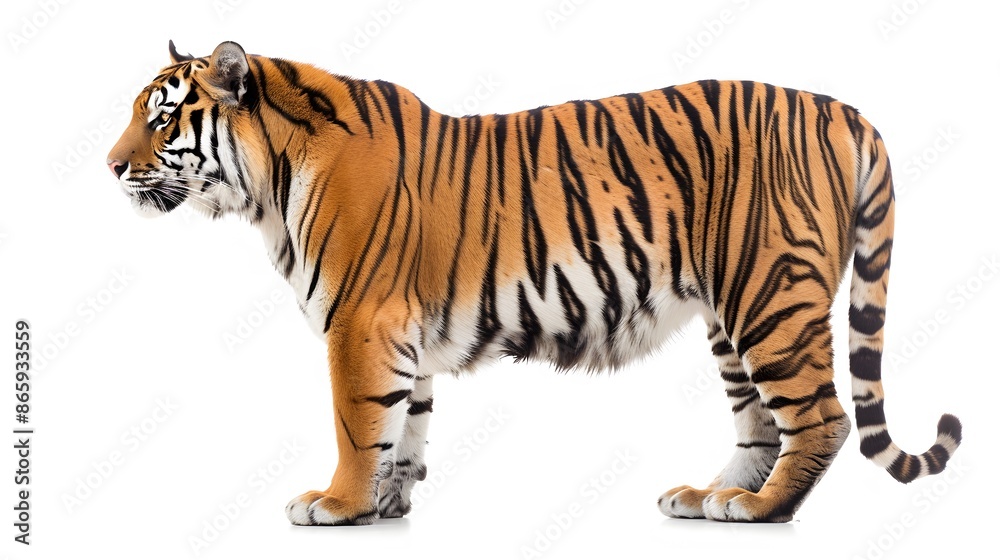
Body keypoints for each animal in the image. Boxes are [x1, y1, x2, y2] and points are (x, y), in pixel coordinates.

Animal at [107, 41, 962, 524]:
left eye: (161, 119)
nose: (110, 166)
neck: (269, 181)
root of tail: (842, 108)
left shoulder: (361, 322)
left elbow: (356, 423)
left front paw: (336, 504)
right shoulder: (402, 331)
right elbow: (404, 424)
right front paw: (385, 504)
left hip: (770, 294)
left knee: (822, 418)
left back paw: (760, 510)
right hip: (731, 313)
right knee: (760, 422)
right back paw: (708, 497)